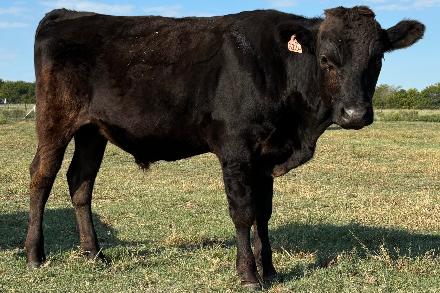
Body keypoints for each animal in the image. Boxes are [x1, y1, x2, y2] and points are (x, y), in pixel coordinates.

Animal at [25, 5, 424, 288]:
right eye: (326, 59)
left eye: (377, 59)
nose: (355, 114)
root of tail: (66, 14)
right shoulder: (236, 151)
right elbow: (243, 213)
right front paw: (249, 275)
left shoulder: (266, 156)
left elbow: (264, 213)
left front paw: (271, 270)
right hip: (55, 119)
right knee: (41, 177)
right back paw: (34, 255)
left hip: (92, 131)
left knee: (80, 182)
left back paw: (94, 254)